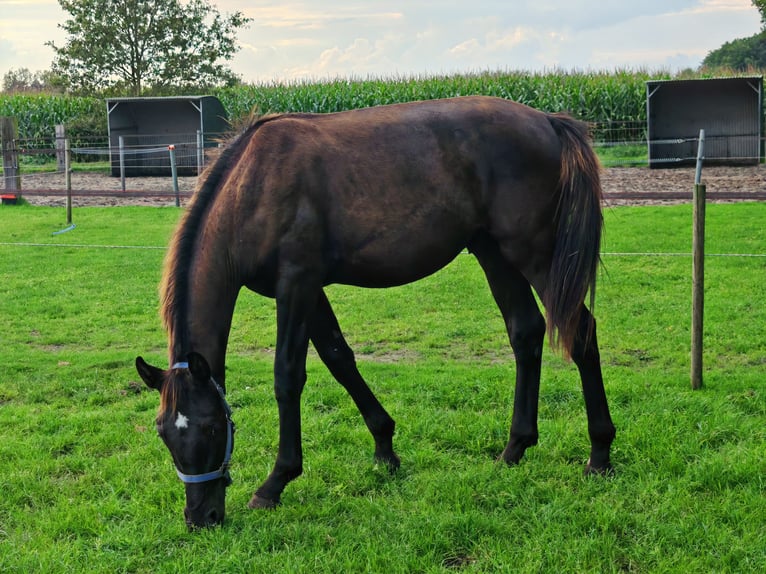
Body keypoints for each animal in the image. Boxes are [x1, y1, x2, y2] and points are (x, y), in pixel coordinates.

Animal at [136, 95, 616, 532]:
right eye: (163, 432)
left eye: (211, 428)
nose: (201, 518)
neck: (254, 186)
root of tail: (547, 121)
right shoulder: (308, 292)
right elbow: (339, 359)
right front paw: (385, 447)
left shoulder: (297, 285)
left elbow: (288, 378)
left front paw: (275, 482)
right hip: (493, 252)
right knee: (526, 332)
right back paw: (515, 448)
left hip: (534, 255)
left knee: (581, 332)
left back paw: (600, 455)